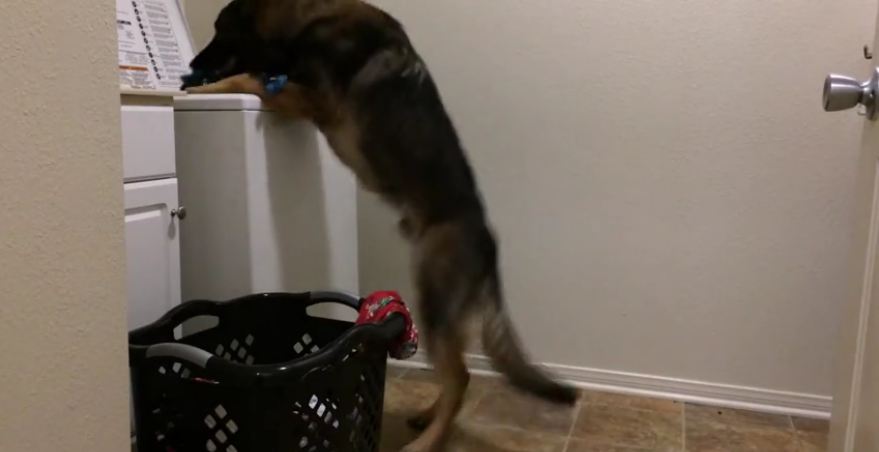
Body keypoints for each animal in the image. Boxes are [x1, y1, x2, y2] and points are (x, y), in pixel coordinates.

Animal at [182, 0, 580, 448]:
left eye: (219, 28)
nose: (191, 65)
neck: (309, 19)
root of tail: (489, 243)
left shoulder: (311, 97)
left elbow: (247, 77)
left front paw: (201, 89)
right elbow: (254, 76)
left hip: (435, 301)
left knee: (460, 377)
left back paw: (429, 441)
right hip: (449, 313)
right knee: (457, 375)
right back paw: (428, 416)